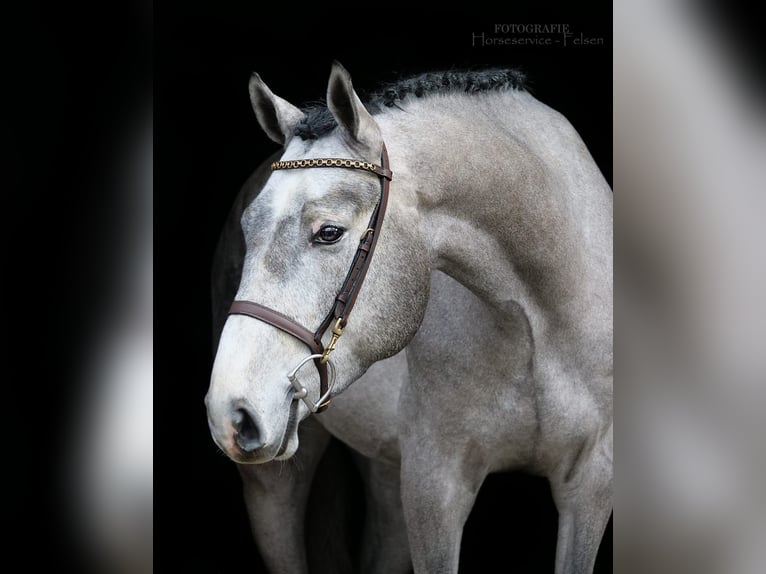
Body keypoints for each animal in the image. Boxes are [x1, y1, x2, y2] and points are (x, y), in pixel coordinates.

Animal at [206, 63, 612, 574]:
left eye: (329, 233)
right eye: (248, 228)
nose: (230, 412)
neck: (536, 325)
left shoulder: (590, 487)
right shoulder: (435, 487)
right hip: (275, 485)